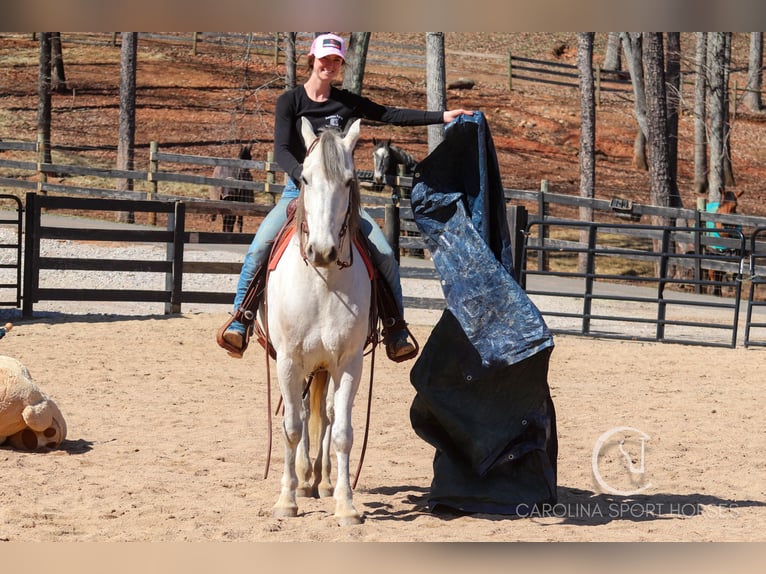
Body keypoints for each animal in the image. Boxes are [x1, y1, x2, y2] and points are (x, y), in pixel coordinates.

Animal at [266, 117, 370, 528]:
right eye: (306, 179)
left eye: (349, 181)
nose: (322, 251)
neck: (323, 282)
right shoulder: (288, 361)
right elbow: (292, 427)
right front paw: (286, 499)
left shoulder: (348, 364)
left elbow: (341, 431)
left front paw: (346, 504)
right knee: (302, 413)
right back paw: (304, 476)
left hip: (325, 367)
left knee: (324, 415)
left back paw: (321, 481)